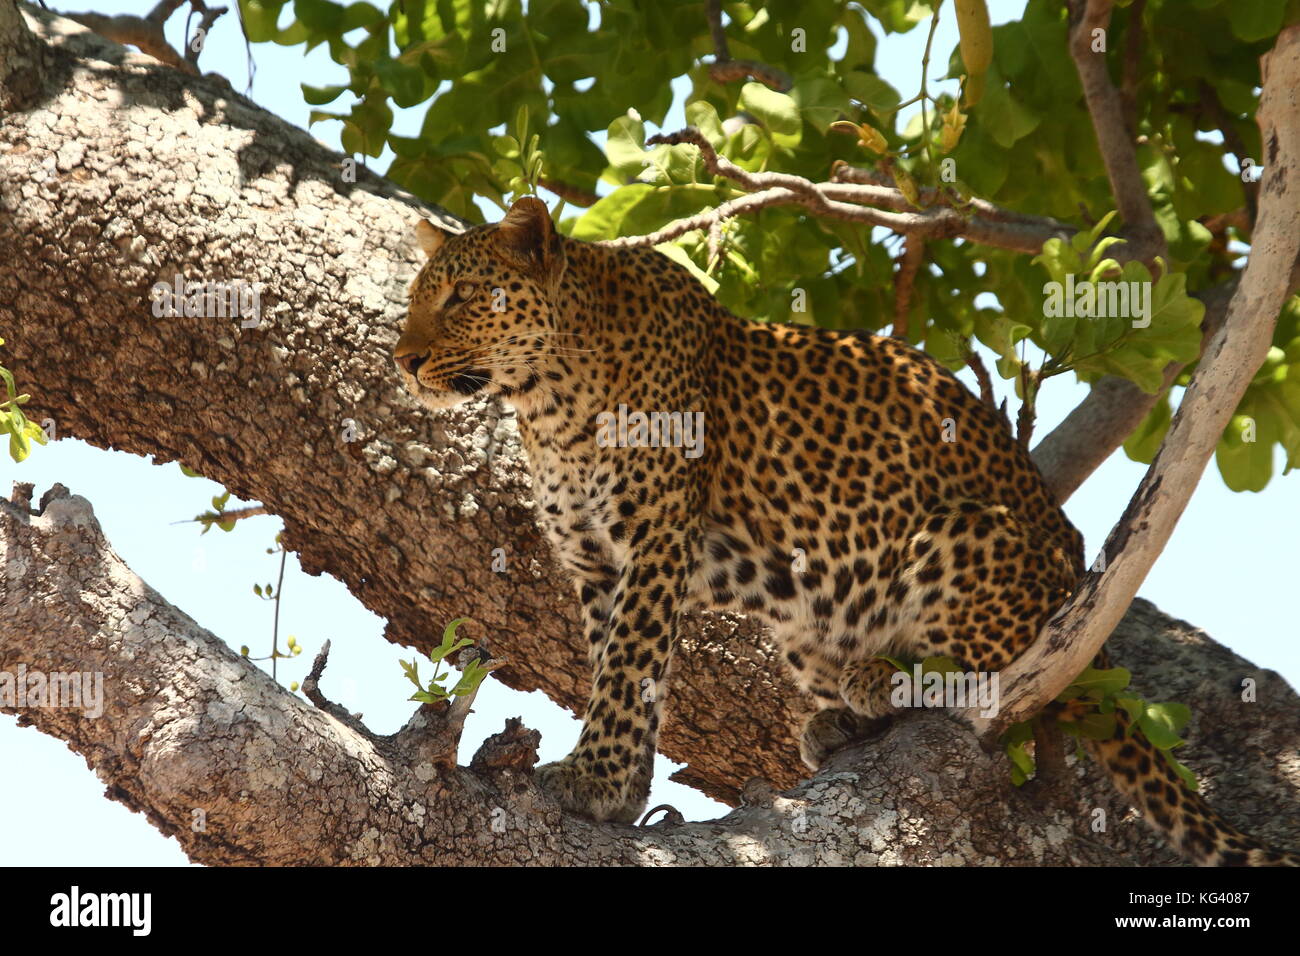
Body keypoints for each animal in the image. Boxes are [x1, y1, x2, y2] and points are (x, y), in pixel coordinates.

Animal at [395, 196, 1300, 868]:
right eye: (411, 301)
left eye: (460, 297)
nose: (402, 359)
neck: (546, 400)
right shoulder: (593, 562)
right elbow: (613, 664)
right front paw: (620, 785)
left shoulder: (655, 539)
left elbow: (630, 666)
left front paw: (598, 781)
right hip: (807, 622)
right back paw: (841, 718)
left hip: (963, 534)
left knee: (995, 680)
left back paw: (886, 678)